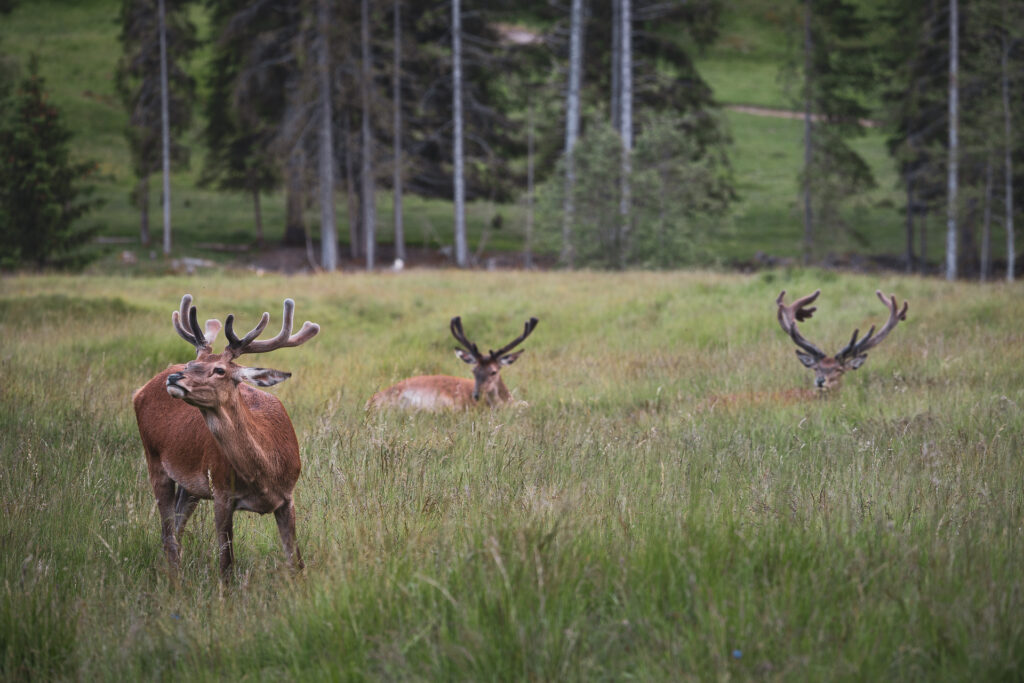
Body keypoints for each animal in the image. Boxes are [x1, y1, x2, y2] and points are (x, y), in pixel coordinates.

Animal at [132, 296, 317, 581]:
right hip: (153, 459)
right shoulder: (221, 492)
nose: (175, 377)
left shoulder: (288, 497)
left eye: (219, 370)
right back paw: (175, 581)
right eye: (191, 364)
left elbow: (296, 561)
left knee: (176, 527)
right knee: (168, 534)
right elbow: (227, 565)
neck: (265, 474)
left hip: (191, 485)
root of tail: (141, 390)